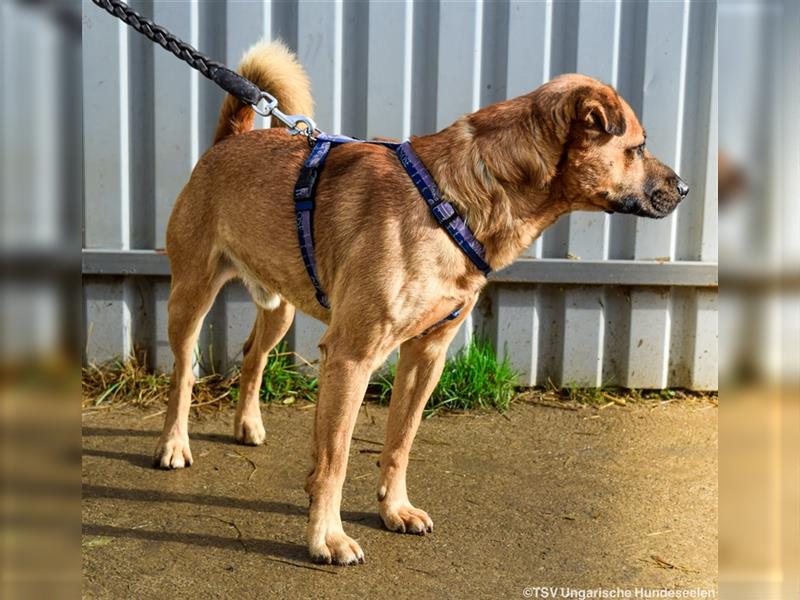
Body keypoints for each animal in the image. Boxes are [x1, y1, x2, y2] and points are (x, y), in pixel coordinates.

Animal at [155, 42, 688, 564]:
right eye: (637, 147)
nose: (684, 189)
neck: (457, 198)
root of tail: (229, 140)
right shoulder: (351, 357)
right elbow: (334, 459)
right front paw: (327, 537)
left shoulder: (426, 355)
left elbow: (400, 443)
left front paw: (394, 509)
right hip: (191, 296)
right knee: (183, 374)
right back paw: (173, 444)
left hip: (282, 304)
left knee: (252, 357)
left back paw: (247, 423)